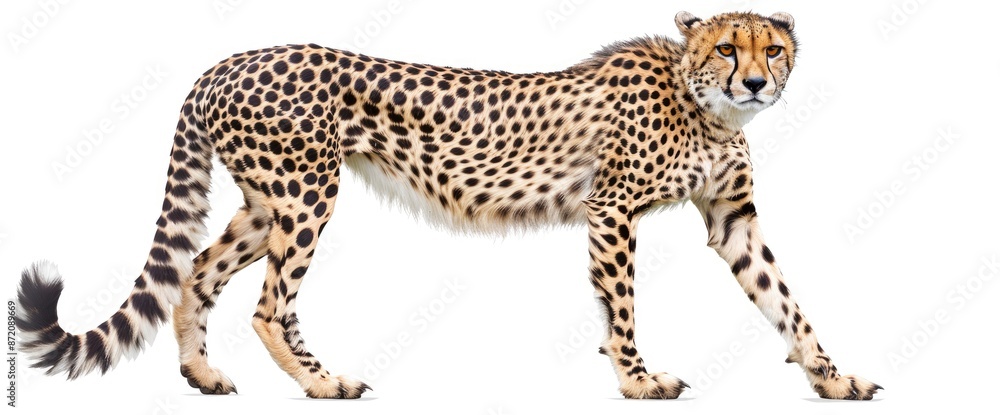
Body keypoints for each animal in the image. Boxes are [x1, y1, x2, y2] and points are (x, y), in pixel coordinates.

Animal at [15, 11, 881, 400]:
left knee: (196, 271)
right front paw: (638, 380)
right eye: (727, 48)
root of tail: (226, 61)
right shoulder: (611, 211)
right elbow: (624, 308)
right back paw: (324, 383)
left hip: (266, 202)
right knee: (269, 302)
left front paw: (833, 377)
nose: (757, 82)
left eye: (773, 47)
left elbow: (786, 300)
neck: (707, 106)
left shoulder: (733, 219)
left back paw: (201, 372)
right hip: (307, 193)